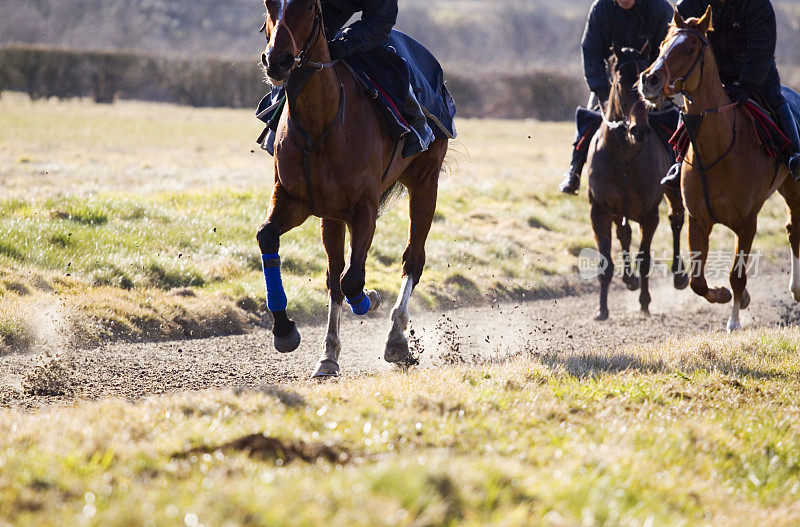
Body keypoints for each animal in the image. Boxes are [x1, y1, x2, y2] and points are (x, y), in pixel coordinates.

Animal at [255, 0, 446, 376]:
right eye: (269, 4)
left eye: (307, 6)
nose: (277, 61)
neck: (321, 122)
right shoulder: (295, 200)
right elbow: (268, 237)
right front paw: (285, 330)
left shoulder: (363, 209)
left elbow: (354, 279)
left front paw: (370, 299)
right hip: (331, 214)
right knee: (334, 276)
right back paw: (328, 355)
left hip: (425, 182)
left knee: (412, 259)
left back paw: (396, 339)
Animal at [584, 46, 692, 322]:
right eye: (620, 82)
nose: (639, 130)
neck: (624, 156)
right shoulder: (599, 211)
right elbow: (606, 260)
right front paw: (601, 309)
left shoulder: (648, 214)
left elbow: (644, 259)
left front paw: (644, 302)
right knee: (624, 234)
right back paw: (628, 279)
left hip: (672, 192)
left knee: (676, 220)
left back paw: (678, 276)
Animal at [636, 7, 800, 330]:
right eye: (662, 45)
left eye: (689, 49)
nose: (649, 79)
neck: (718, 148)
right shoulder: (698, 220)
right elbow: (697, 282)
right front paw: (725, 295)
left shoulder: (747, 222)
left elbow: (737, 275)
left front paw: (734, 320)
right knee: (791, 229)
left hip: (795, 186)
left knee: (796, 229)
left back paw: (796, 289)